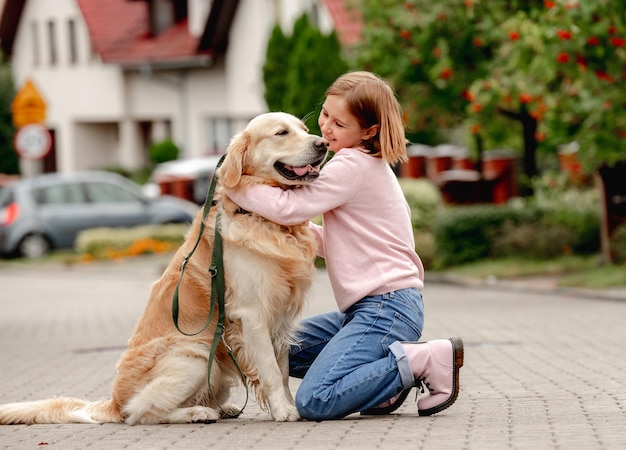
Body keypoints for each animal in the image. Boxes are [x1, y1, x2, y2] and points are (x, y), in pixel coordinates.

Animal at [0, 112, 330, 426]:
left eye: (304, 129)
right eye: (281, 133)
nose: (323, 144)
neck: (264, 219)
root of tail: (113, 403)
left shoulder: (280, 319)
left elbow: (282, 372)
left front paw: (288, 405)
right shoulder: (252, 315)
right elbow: (271, 371)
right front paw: (284, 410)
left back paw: (220, 408)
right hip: (195, 355)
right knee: (142, 412)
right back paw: (198, 413)